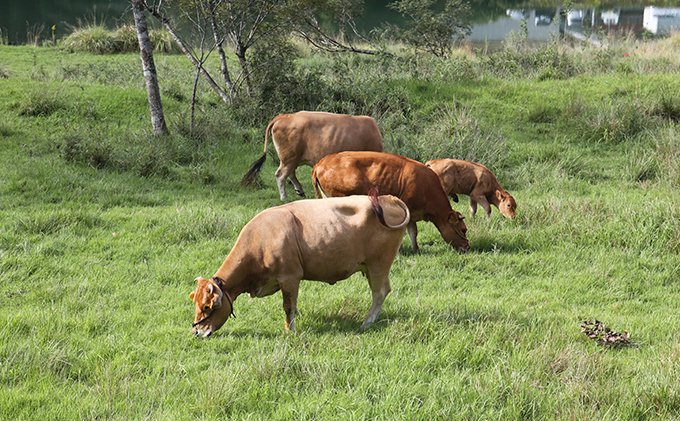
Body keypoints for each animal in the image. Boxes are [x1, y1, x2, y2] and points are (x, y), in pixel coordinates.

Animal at [190, 193, 410, 334]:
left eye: (208, 307)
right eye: (196, 304)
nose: (197, 332)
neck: (260, 238)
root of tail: (388, 198)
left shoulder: (289, 277)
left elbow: (288, 306)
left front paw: (290, 330)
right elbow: (294, 304)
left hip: (379, 263)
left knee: (379, 292)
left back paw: (367, 323)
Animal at [242, 110, 386, 201]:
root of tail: (284, 116)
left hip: (292, 158)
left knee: (290, 173)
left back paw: (299, 190)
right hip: (289, 157)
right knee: (281, 175)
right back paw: (284, 197)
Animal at [312, 151, 468, 253]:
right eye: (463, 230)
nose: (467, 247)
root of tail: (321, 162)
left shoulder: (412, 213)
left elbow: (413, 232)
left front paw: (415, 249)